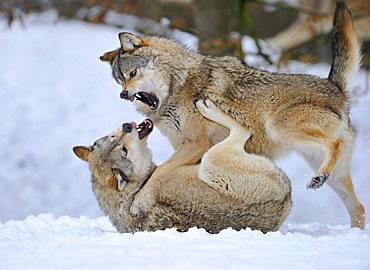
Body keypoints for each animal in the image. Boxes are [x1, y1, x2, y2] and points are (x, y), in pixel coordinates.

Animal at [73, 100, 292, 233]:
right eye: (124, 151)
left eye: (115, 138)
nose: (127, 126)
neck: (137, 186)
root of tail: (286, 196)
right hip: (211, 161)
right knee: (243, 131)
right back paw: (208, 108)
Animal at [99, 0, 366, 228]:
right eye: (120, 81)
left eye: (133, 74)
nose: (123, 94)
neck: (178, 85)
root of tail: (336, 87)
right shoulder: (184, 148)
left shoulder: (196, 144)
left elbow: (160, 172)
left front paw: (140, 202)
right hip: (331, 174)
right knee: (359, 209)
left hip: (280, 130)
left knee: (335, 143)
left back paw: (318, 177)